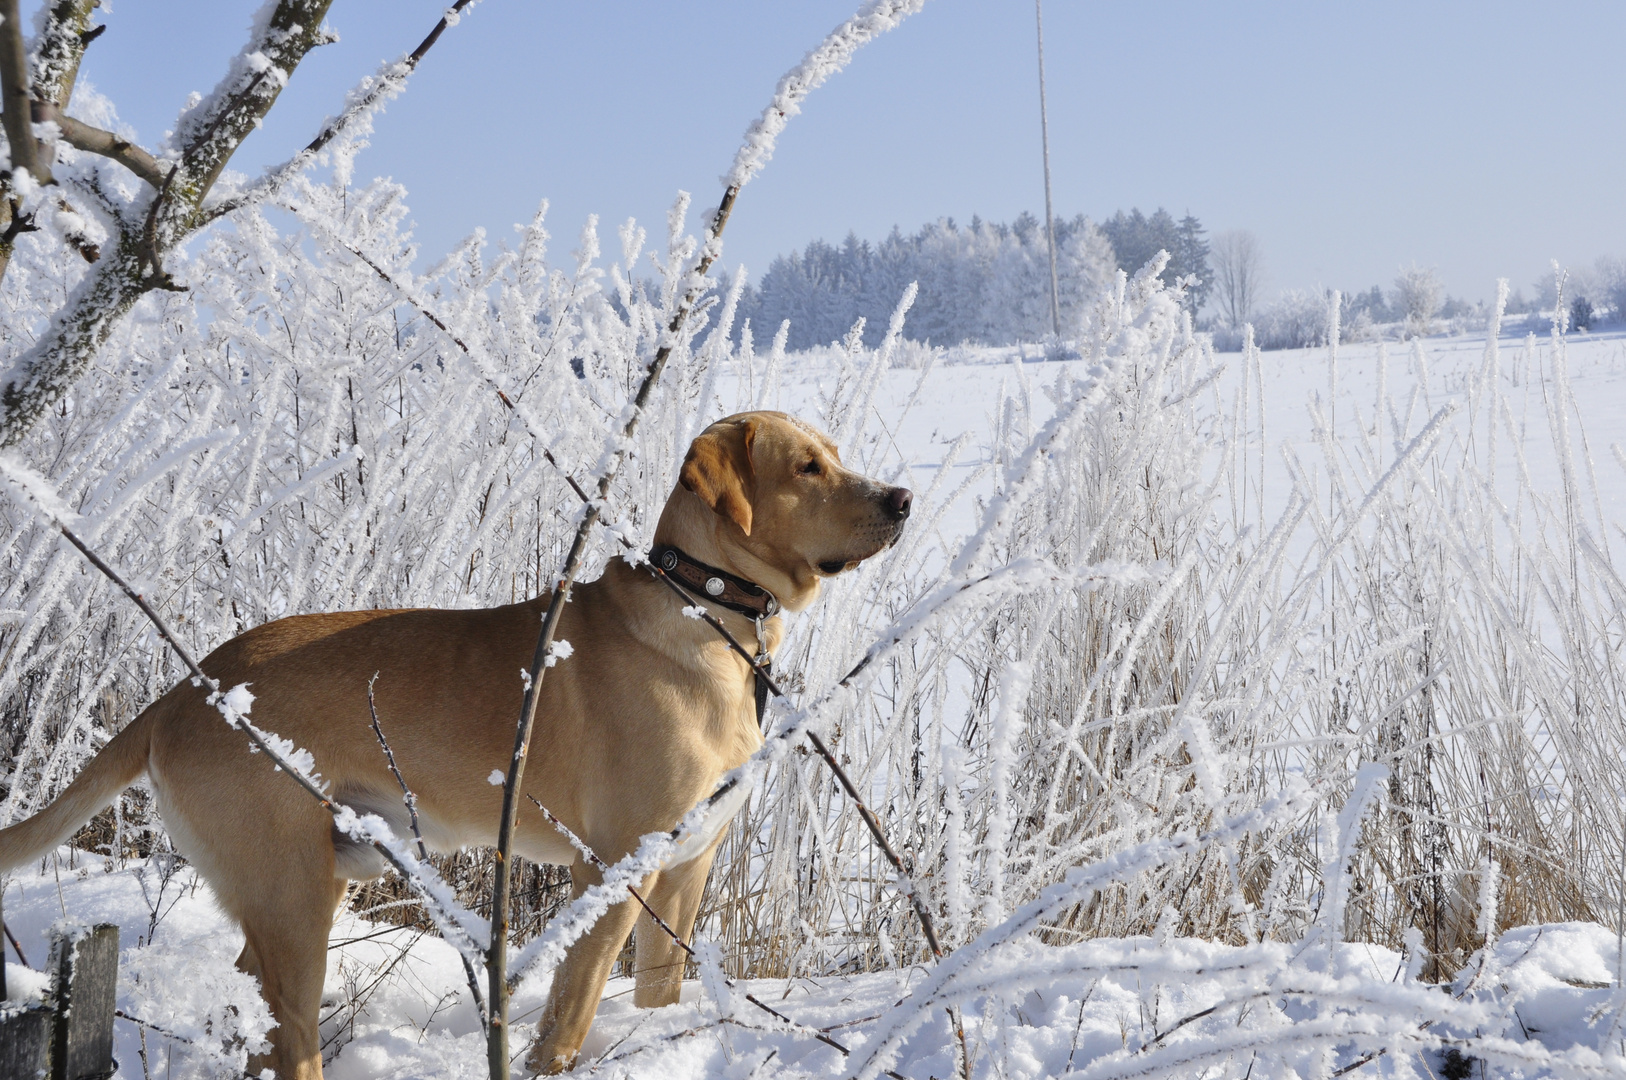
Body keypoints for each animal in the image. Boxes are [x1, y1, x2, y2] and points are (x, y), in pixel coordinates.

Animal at [0, 409, 917, 1073]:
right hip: (293, 900)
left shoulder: (688, 865)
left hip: (304, 886)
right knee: (290, 1041)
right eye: (808, 467)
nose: (903, 499)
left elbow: (658, 986)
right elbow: (571, 1012)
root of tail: (185, 691)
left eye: (836, 455)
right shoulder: (612, 869)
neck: (706, 608)